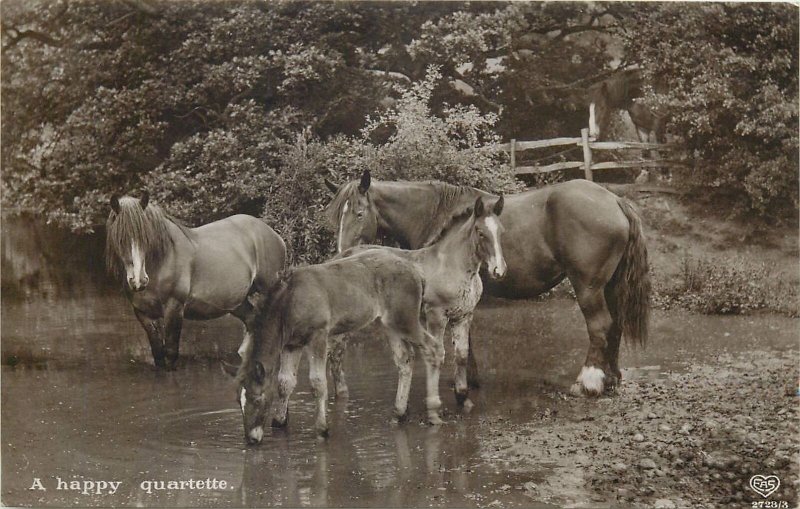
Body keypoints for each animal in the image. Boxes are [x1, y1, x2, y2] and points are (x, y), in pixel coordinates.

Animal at [103, 192, 284, 368]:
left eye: (147, 238)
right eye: (120, 239)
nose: (138, 281)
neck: (162, 260)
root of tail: (275, 235)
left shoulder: (174, 307)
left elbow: (170, 353)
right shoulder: (143, 313)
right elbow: (158, 354)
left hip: (269, 291)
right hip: (237, 303)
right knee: (252, 321)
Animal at [324, 173, 648, 398]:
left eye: (358, 213)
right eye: (336, 215)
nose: (341, 253)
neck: (435, 215)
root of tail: (614, 200)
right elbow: (466, 338)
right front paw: (470, 378)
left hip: (588, 287)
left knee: (599, 326)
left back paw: (589, 382)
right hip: (609, 286)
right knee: (615, 325)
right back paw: (611, 378)